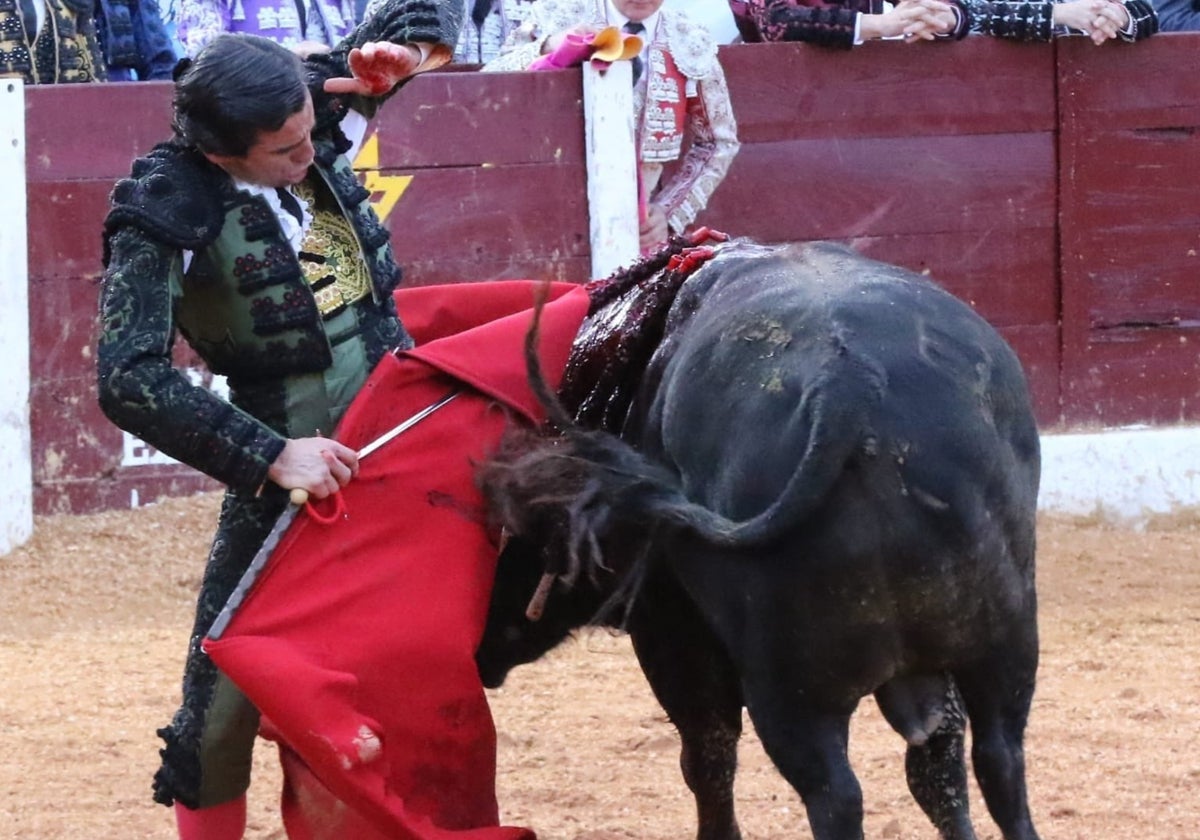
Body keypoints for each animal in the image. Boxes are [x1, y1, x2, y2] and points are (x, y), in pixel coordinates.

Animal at [475, 237, 1041, 840]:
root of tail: (847, 384)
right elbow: (939, 763)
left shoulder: (668, 623)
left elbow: (707, 753)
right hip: (1001, 648)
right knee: (997, 762)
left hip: (788, 688)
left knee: (833, 794)